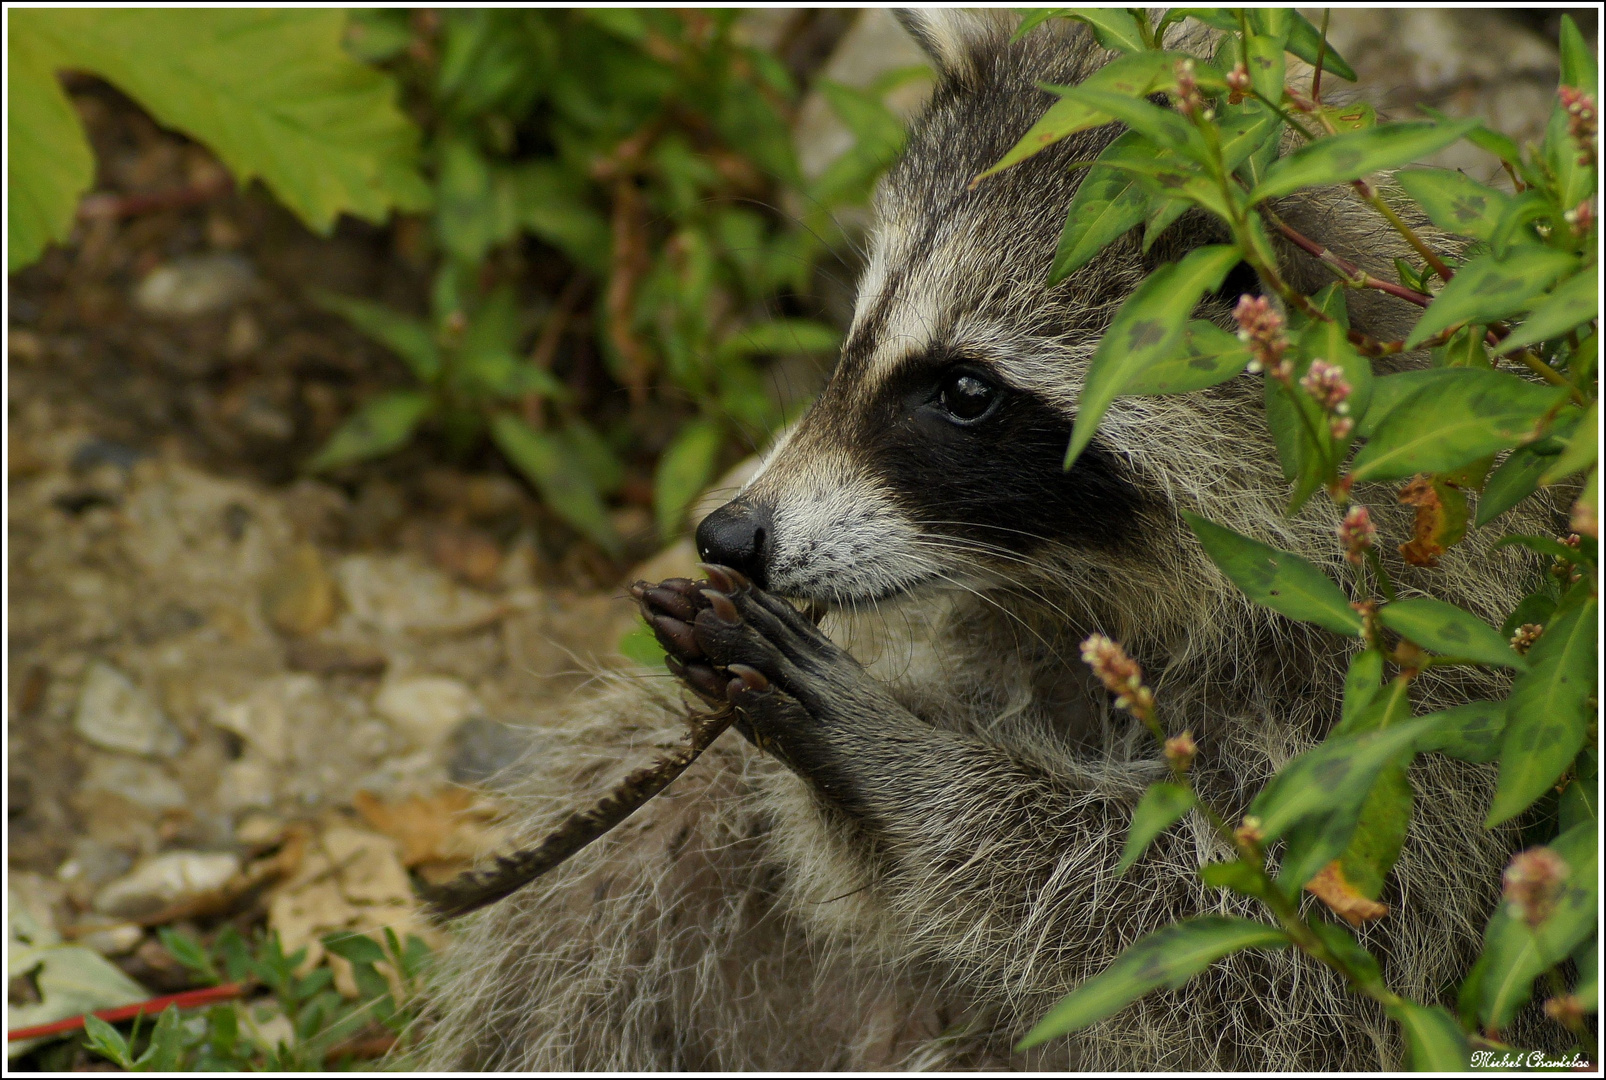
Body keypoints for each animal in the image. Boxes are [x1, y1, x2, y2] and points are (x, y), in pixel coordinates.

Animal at [420, 10, 1561, 1073]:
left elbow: (1252, 961)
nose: (728, 534)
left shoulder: (1399, 703)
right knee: (612, 883)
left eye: (966, 390)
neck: (1105, 581)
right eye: (855, 336)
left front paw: (903, 762)